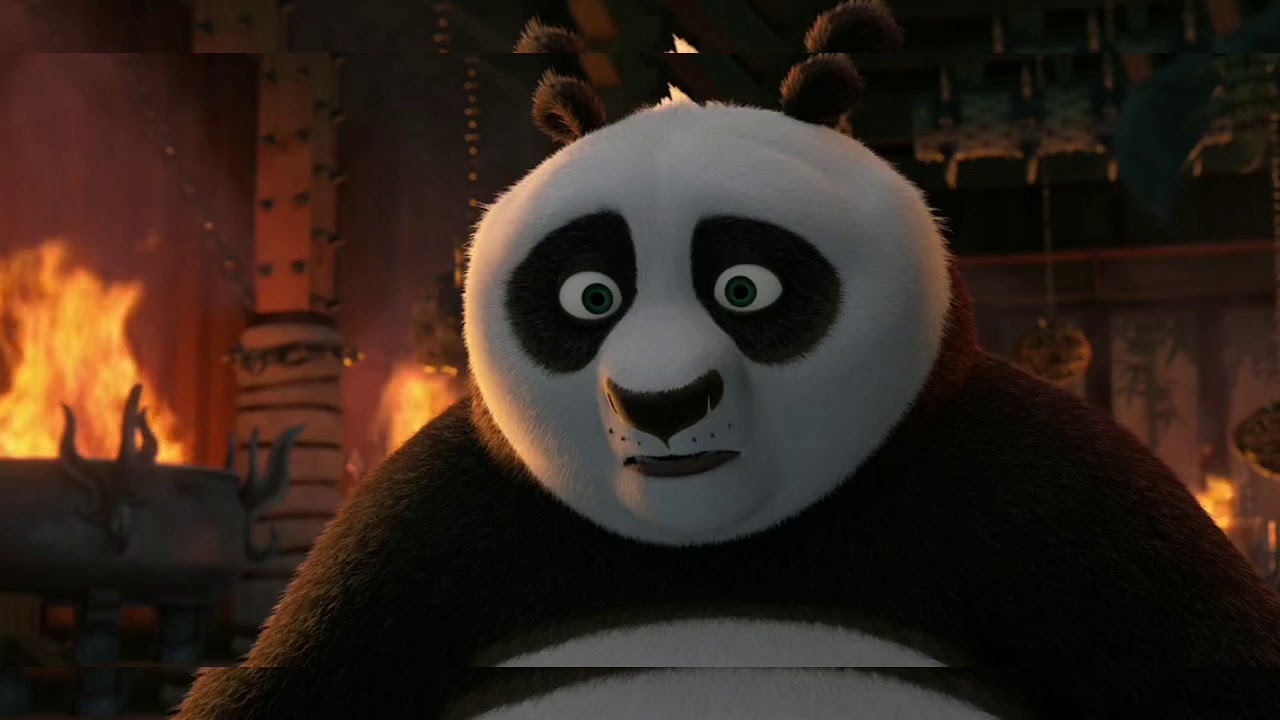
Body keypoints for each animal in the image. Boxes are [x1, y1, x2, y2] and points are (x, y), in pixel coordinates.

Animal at [177, 2, 1280, 719]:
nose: (662, 403)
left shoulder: (1035, 495)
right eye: (590, 297)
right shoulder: (431, 527)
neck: (713, 549)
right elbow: (289, 679)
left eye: (745, 289)